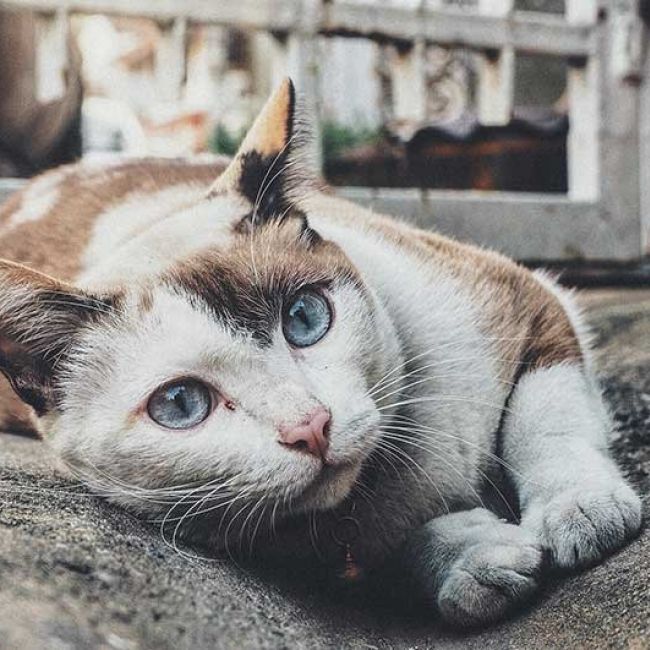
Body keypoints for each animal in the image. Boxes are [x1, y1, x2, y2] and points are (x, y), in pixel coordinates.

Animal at [0, 78, 636, 624]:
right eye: (180, 404)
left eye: (304, 318)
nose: (311, 427)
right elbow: (384, 551)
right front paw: (472, 560)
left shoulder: (523, 297)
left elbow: (544, 417)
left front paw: (580, 509)